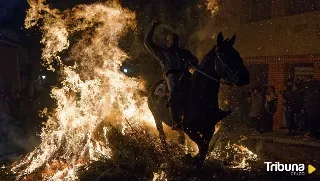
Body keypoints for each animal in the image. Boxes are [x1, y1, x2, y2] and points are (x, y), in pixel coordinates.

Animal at [147, 32, 250, 164]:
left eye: (236, 53)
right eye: (222, 54)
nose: (245, 77)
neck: (199, 97)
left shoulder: (209, 129)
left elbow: (204, 150)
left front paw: (193, 159)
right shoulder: (189, 128)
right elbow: (202, 147)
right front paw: (191, 159)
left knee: (181, 137)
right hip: (156, 118)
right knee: (162, 136)